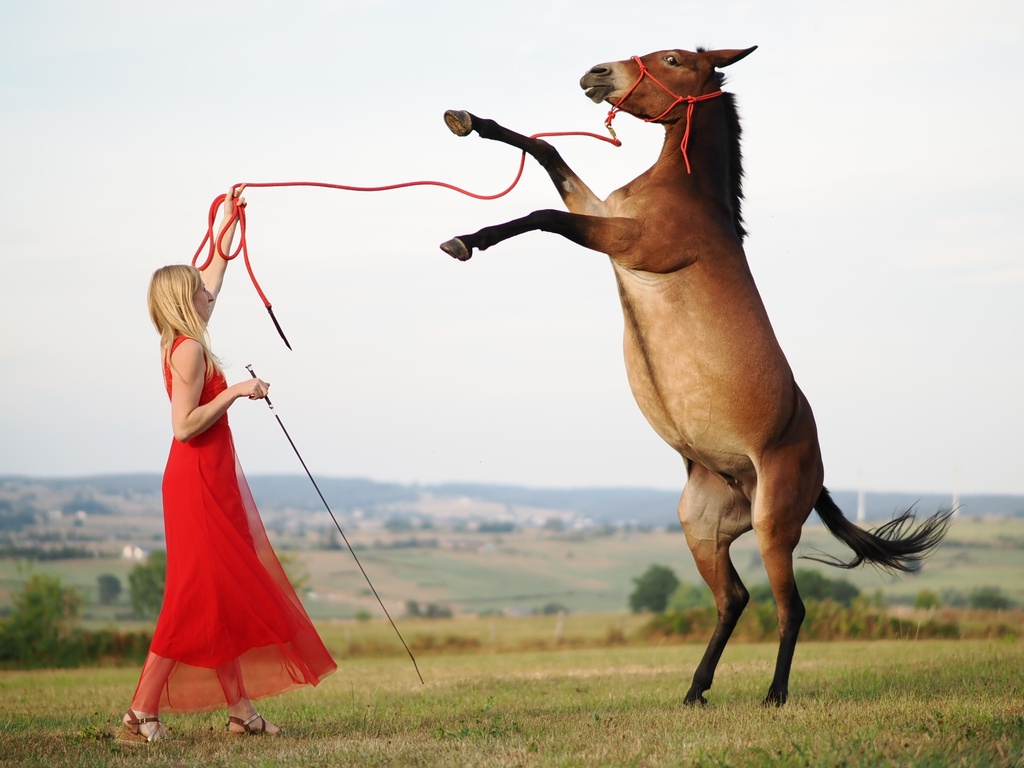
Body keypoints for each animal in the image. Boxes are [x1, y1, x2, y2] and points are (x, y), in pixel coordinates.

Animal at [438, 49, 950, 708]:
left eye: (674, 59)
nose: (595, 74)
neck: (682, 195)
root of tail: (813, 474)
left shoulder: (626, 239)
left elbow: (544, 212)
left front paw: (465, 240)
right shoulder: (601, 214)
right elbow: (549, 154)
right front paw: (468, 121)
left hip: (775, 526)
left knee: (790, 608)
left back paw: (773, 696)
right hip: (703, 528)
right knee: (734, 598)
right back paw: (694, 691)